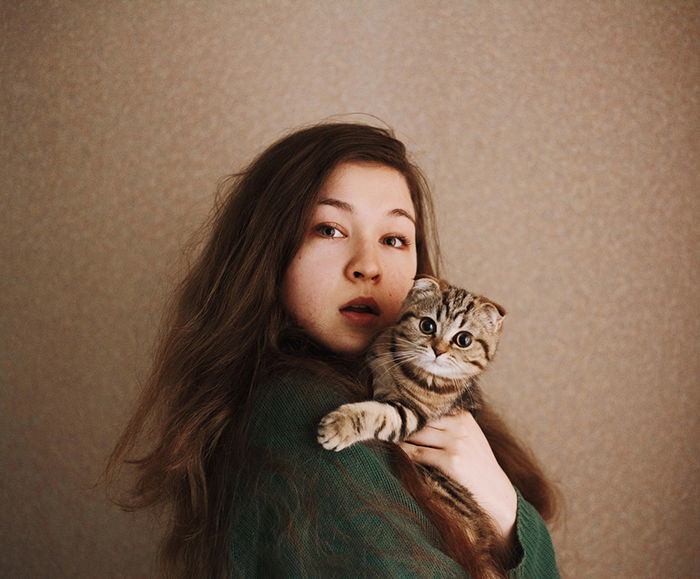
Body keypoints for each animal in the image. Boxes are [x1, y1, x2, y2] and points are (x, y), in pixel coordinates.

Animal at [318, 278, 508, 579]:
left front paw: (340, 425)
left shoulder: (413, 414)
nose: (438, 350)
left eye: (463, 339)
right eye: (427, 325)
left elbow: (379, 414)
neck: (404, 369)